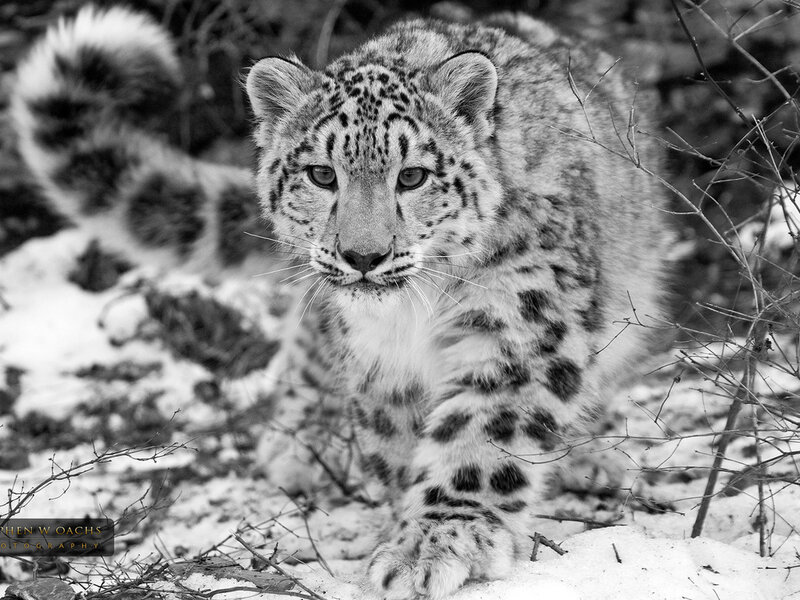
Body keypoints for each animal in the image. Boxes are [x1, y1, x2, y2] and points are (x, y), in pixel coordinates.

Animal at [11, 6, 669, 599]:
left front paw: (438, 541)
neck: (413, 316)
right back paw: (301, 443)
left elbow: (482, 434)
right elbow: (396, 443)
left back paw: (591, 459)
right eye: (322, 175)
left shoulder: (518, 323)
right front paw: (404, 526)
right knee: (307, 344)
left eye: (413, 176)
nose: (363, 255)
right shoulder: (378, 360)